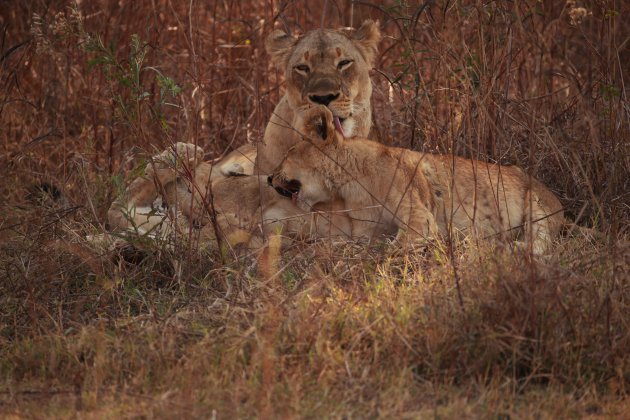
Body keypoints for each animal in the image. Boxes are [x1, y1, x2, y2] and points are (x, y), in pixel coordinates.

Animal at [270, 106, 564, 256]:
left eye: (288, 152)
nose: (269, 177)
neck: (350, 184)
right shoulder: (365, 230)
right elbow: (356, 242)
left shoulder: (420, 217)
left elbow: (395, 246)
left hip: (536, 206)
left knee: (541, 242)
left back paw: (505, 246)